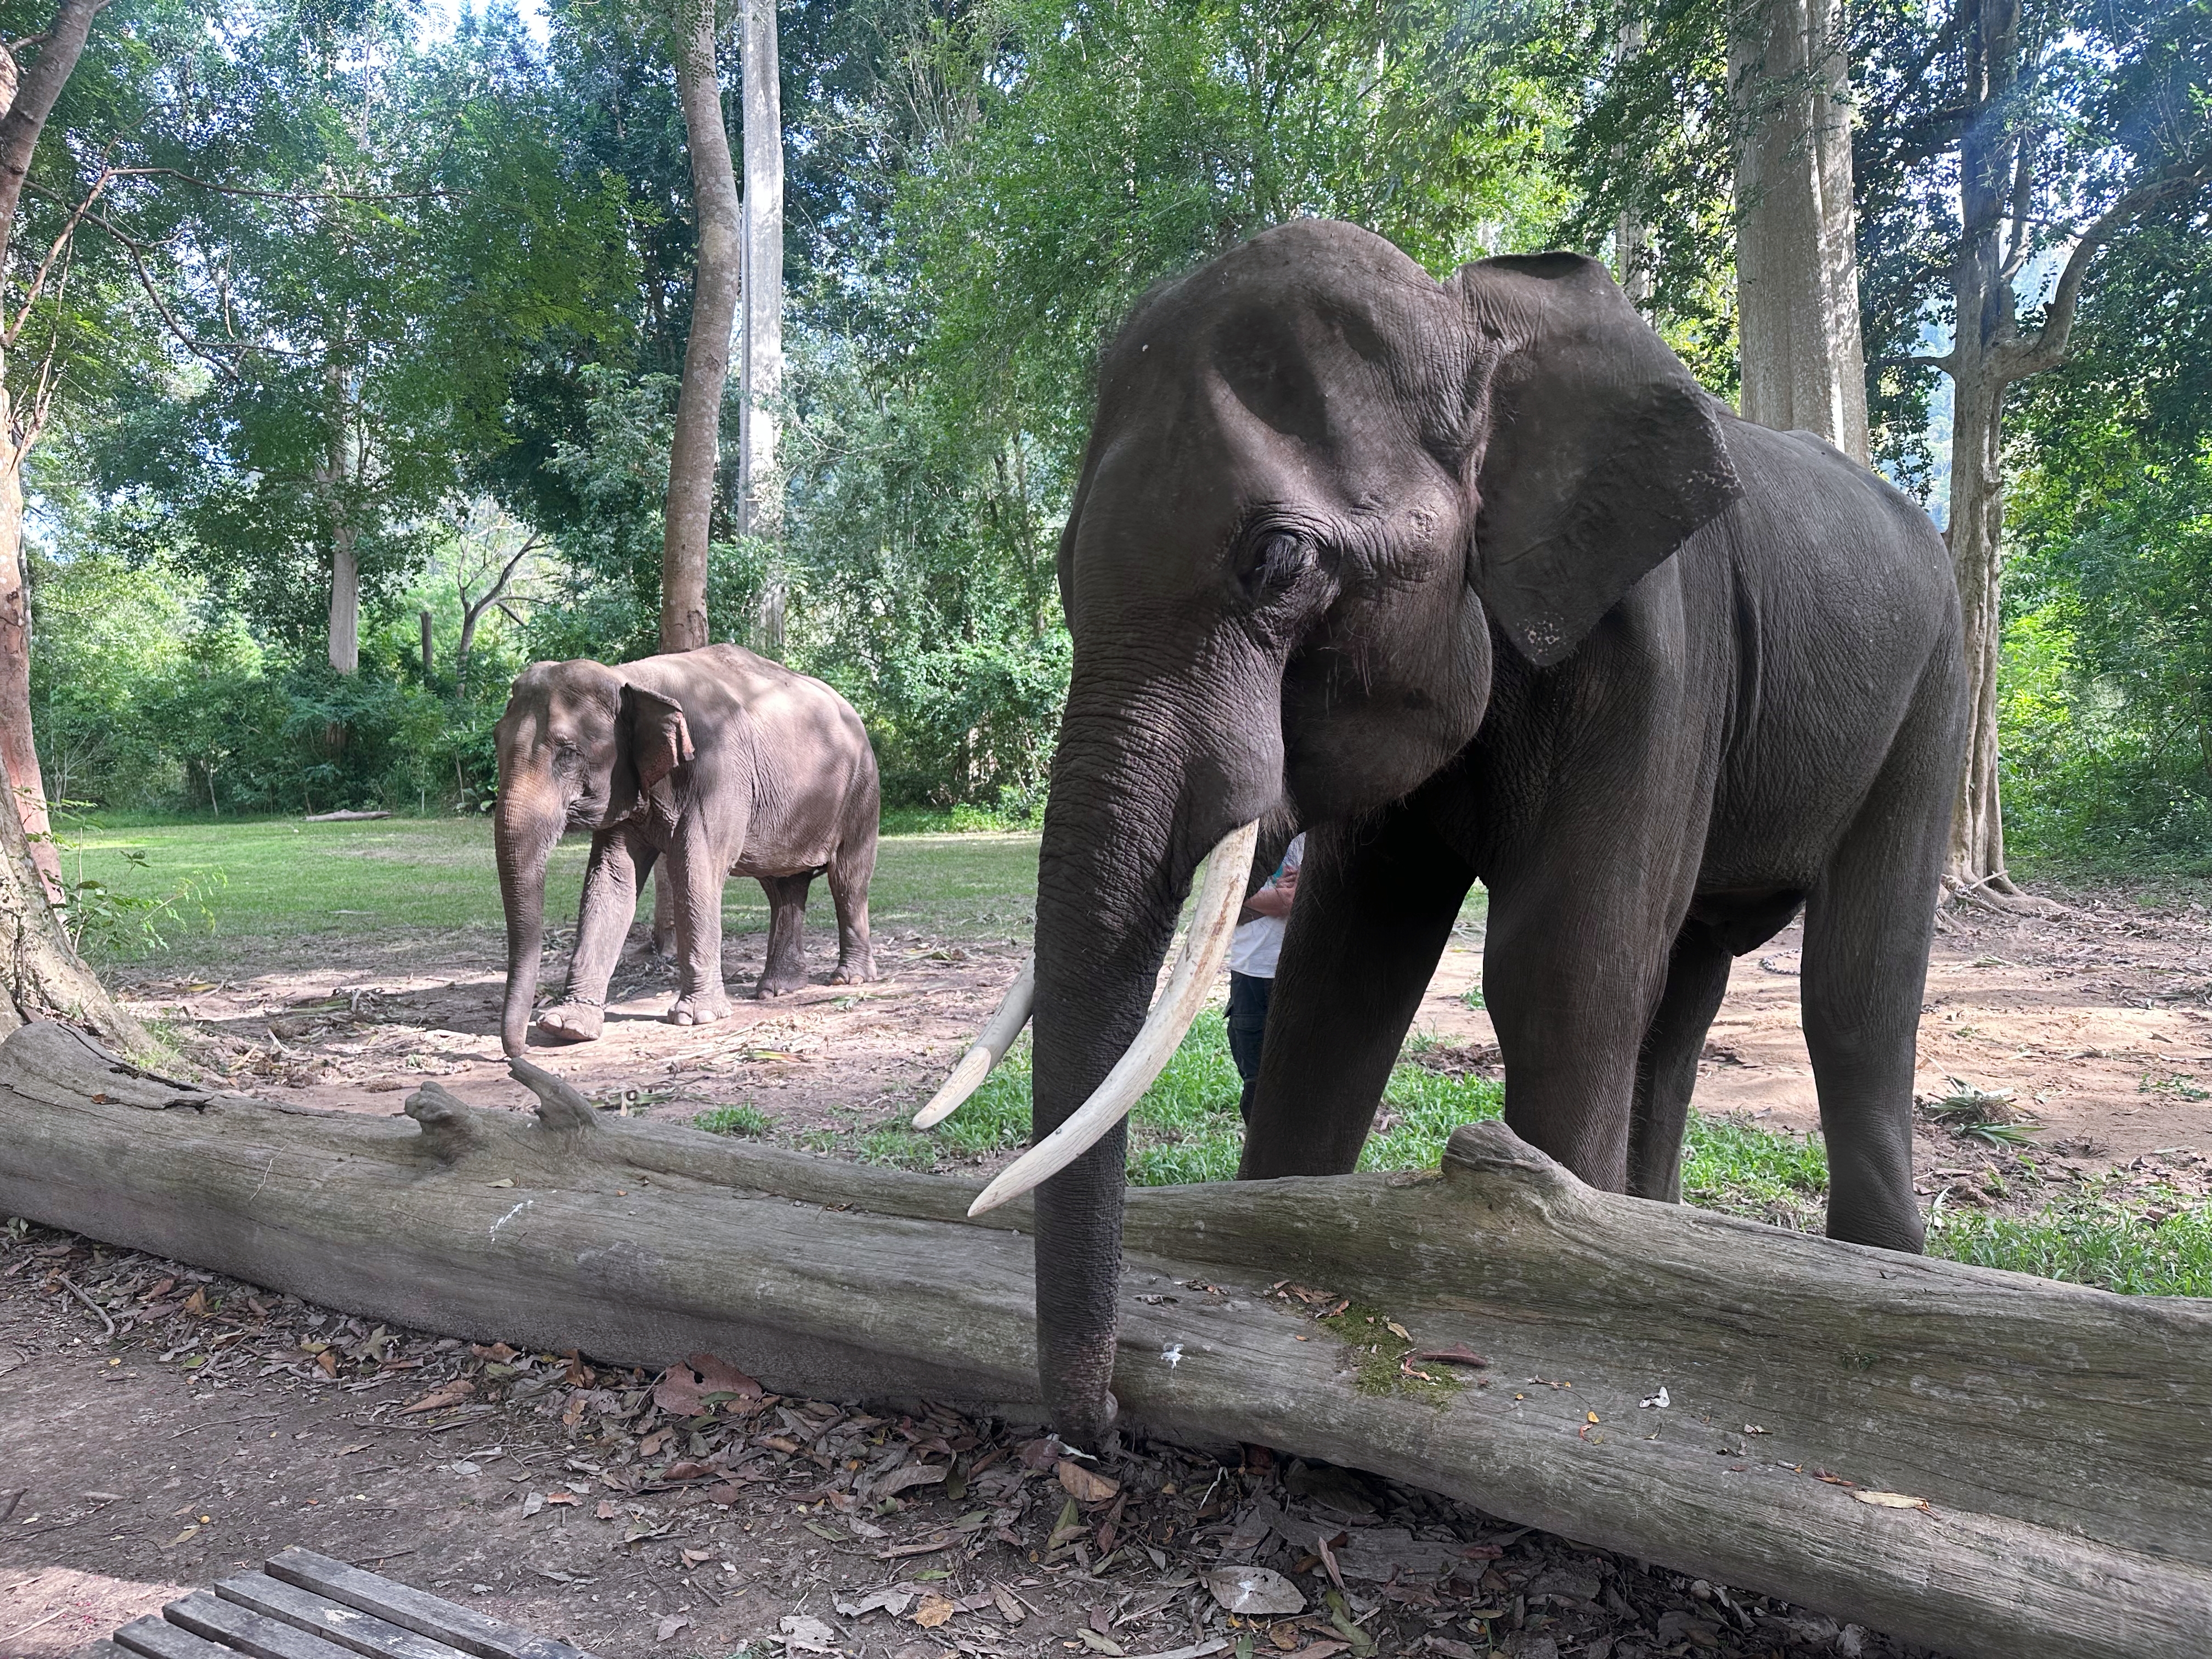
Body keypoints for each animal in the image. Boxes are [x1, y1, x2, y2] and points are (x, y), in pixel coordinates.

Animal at [493, 643, 880, 1058]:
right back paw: (776, 989)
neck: (629, 678)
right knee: (784, 888)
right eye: (497, 740)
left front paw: (696, 1017)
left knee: (848, 879)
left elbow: (695, 869)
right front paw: (567, 1027)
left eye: (567, 753)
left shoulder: (719, 770)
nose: (520, 1051)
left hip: (862, 791)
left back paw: (849, 979)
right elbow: (611, 880)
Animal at [921, 219, 1965, 1448]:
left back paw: (1882, 1275)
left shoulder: (1663, 650)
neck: (1472, 327)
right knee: (1687, 985)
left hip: (1935, 685)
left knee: (1854, 992)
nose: (1103, 1427)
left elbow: (1562, 971)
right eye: (1063, 567)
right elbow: (1341, 973)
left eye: (1276, 560)